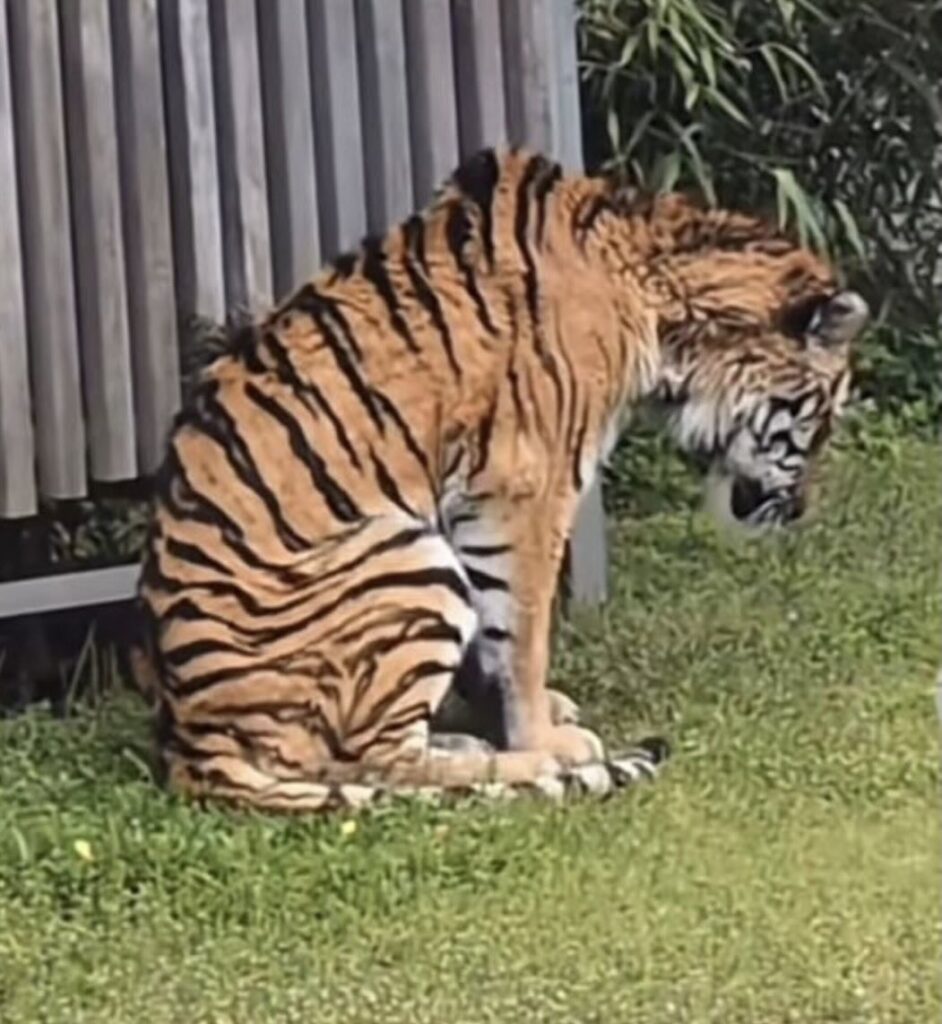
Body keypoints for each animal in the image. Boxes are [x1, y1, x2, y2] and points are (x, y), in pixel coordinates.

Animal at [133, 146, 869, 814]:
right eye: (821, 421)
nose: (799, 510)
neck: (658, 296)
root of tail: (193, 745)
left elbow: (498, 637)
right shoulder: (532, 489)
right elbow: (525, 633)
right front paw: (542, 737)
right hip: (405, 557)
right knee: (376, 758)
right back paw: (513, 761)